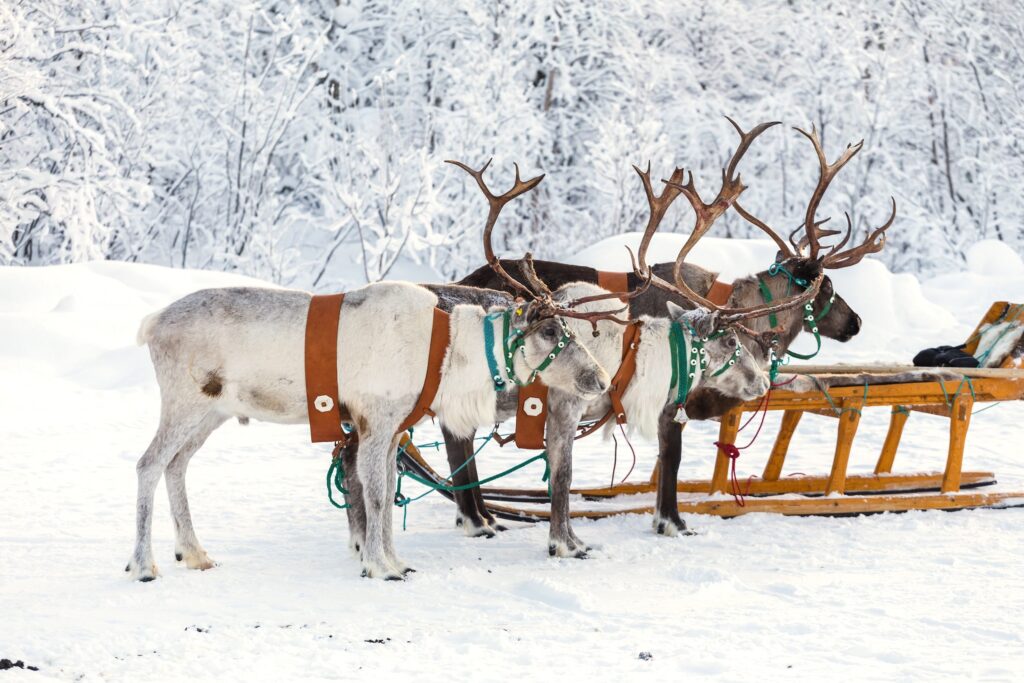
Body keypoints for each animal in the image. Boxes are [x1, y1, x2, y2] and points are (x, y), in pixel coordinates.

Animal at [127, 163, 631, 582]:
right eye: (548, 329)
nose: (599, 378)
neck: (449, 350)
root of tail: (151, 324)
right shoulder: (374, 421)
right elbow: (373, 492)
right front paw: (379, 566)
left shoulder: (393, 428)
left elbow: (386, 492)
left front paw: (393, 559)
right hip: (184, 402)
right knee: (148, 463)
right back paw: (143, 564)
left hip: (211, 413)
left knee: (177, 466)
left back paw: (194, 553)